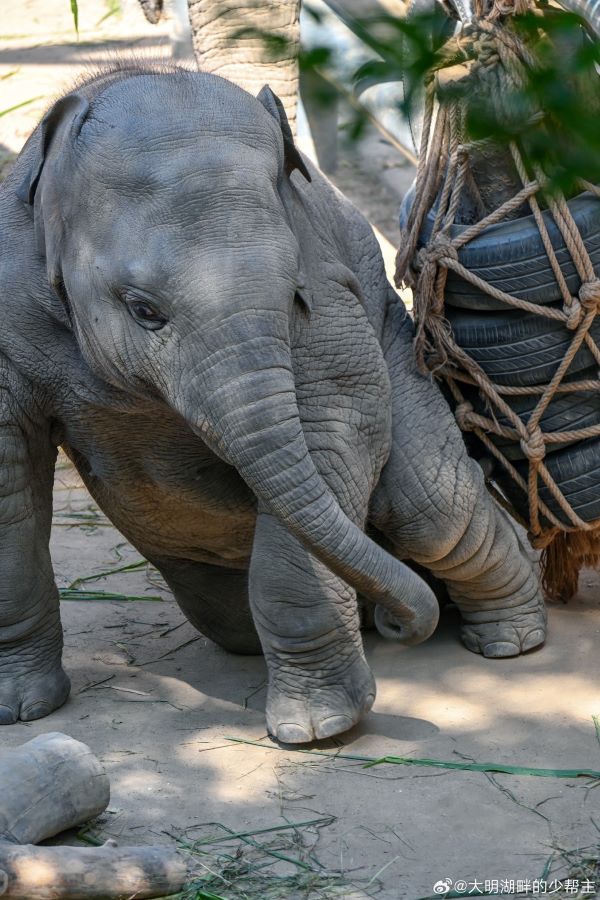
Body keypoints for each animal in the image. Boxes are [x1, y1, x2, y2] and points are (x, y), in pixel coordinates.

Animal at [0, 64, 546, 743]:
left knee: (431, 510)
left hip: (405, 359)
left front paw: (318, 729)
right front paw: (21, 709)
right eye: (144, 310)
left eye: (293, 297)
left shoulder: (331, 291)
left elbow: (337, 417)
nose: (399, 623)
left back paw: (510, 640)